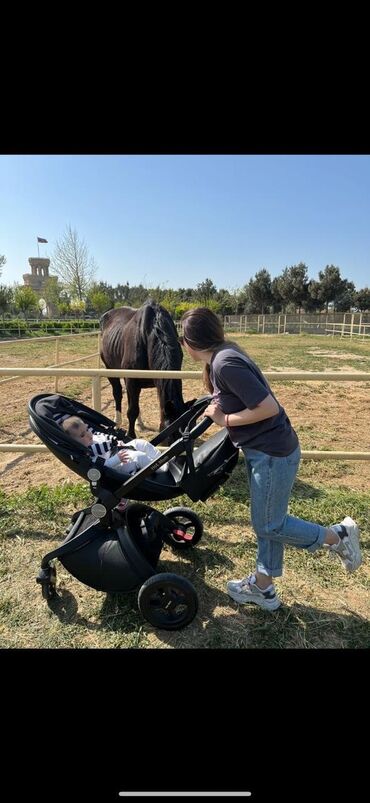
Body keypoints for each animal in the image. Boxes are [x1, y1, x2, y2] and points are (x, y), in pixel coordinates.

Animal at [99, 300, 195, 440]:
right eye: (171, 436)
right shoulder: (132, 381)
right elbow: (132, 411)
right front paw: (131, 436)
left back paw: (139, 424)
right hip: (110, 369)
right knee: (117, 393)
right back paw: (117, 422)